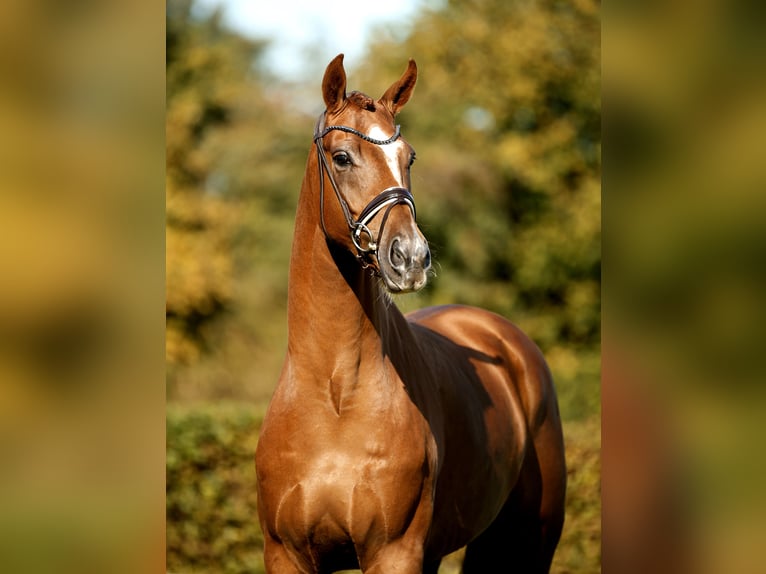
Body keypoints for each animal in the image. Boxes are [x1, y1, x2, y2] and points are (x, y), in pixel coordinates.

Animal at [255, 55, 568, 574]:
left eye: (409, 158)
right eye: (342, 157)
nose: (411, 257)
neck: (334, 395)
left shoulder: (394, 552)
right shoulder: (286, 556)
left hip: (531, 538)